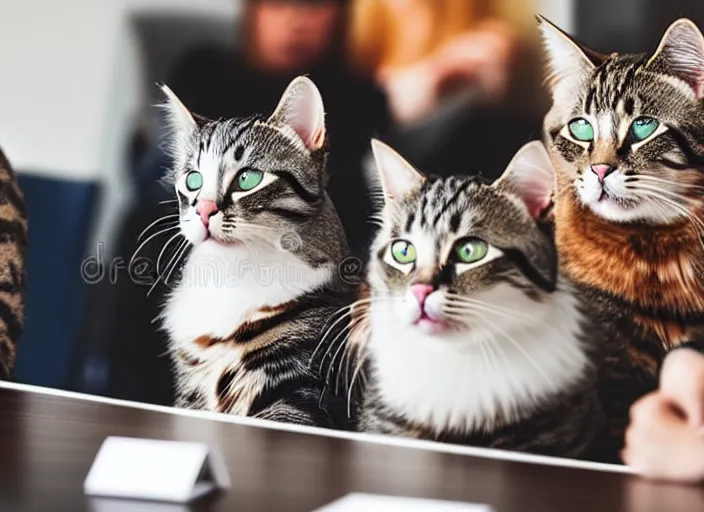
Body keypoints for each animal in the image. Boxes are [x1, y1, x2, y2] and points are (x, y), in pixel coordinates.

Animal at [155, 76, 352, 428]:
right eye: (193, 180)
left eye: (248, 179)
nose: (203, 210)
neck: (232, 272)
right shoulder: (190, 394)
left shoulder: (306, 393)